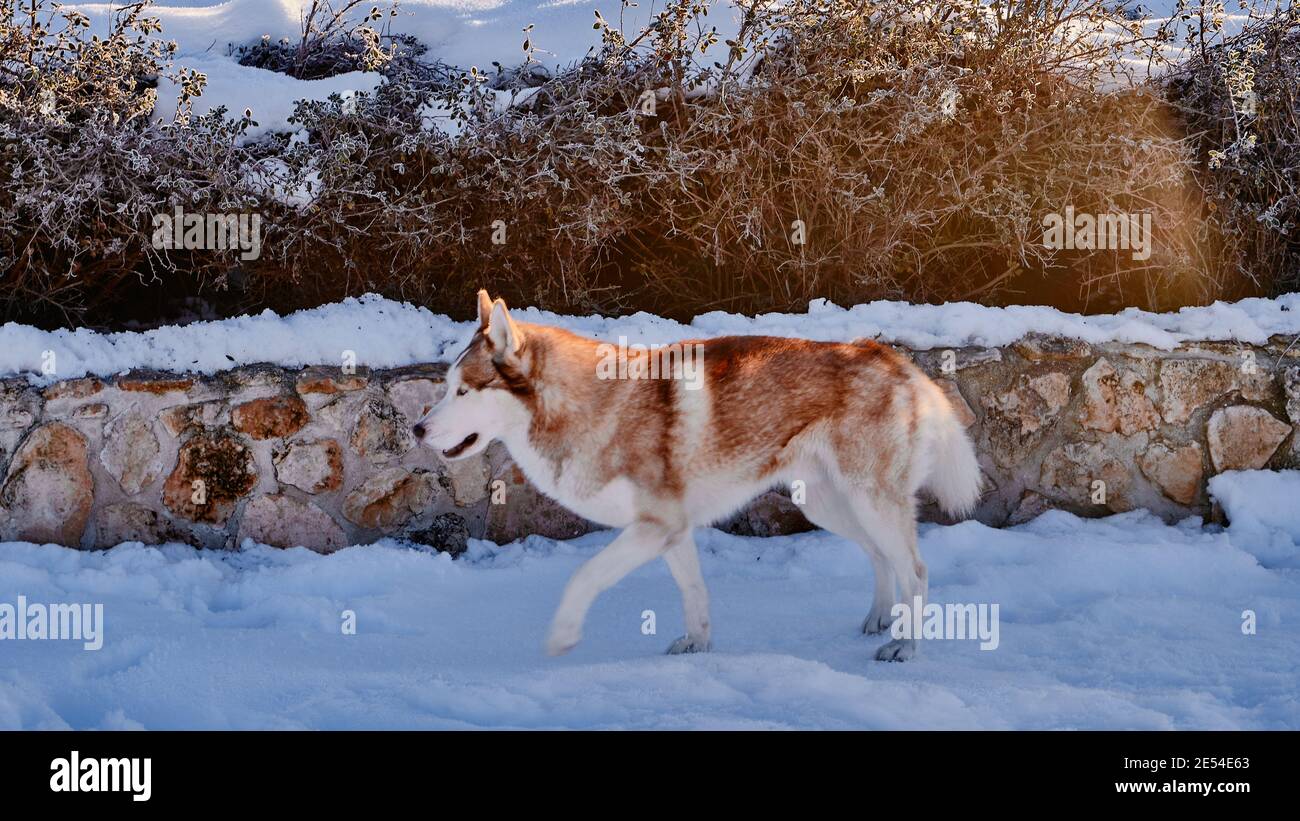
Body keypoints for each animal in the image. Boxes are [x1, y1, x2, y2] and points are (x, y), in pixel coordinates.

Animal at [410, 289, 977, 659]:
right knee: (881, 557)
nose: (416, 428)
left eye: (463, 391)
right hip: (826, 505)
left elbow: (583, 576)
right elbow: (693, 591)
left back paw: (906, 644)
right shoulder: (672, 531)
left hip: (867, 500)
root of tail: (881, 351)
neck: (591, 407)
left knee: (916, 570)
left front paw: (561, 636)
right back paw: (880, 620)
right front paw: (699, 645)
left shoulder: (654, 527)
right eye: (446, 386)